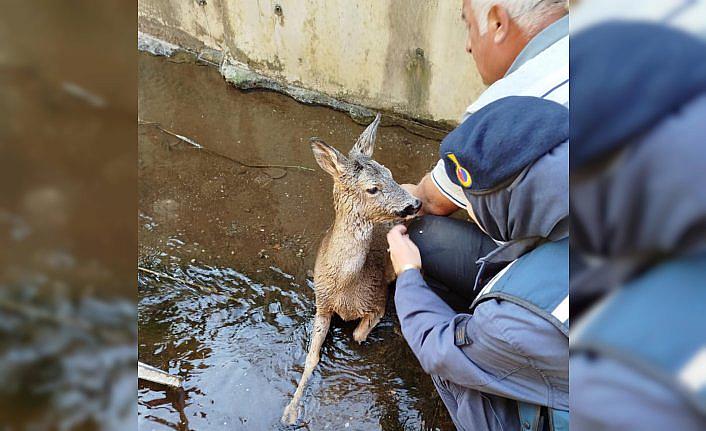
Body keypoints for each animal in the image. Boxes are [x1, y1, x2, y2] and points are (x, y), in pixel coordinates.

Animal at [280, 114, 418, 426]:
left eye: (390, 173)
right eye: (372, 188)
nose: (414, 203)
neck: (346, 288)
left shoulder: (377, 300)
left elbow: (357, 335)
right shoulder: (321, 303)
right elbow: (311, 357)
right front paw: (290, 412)